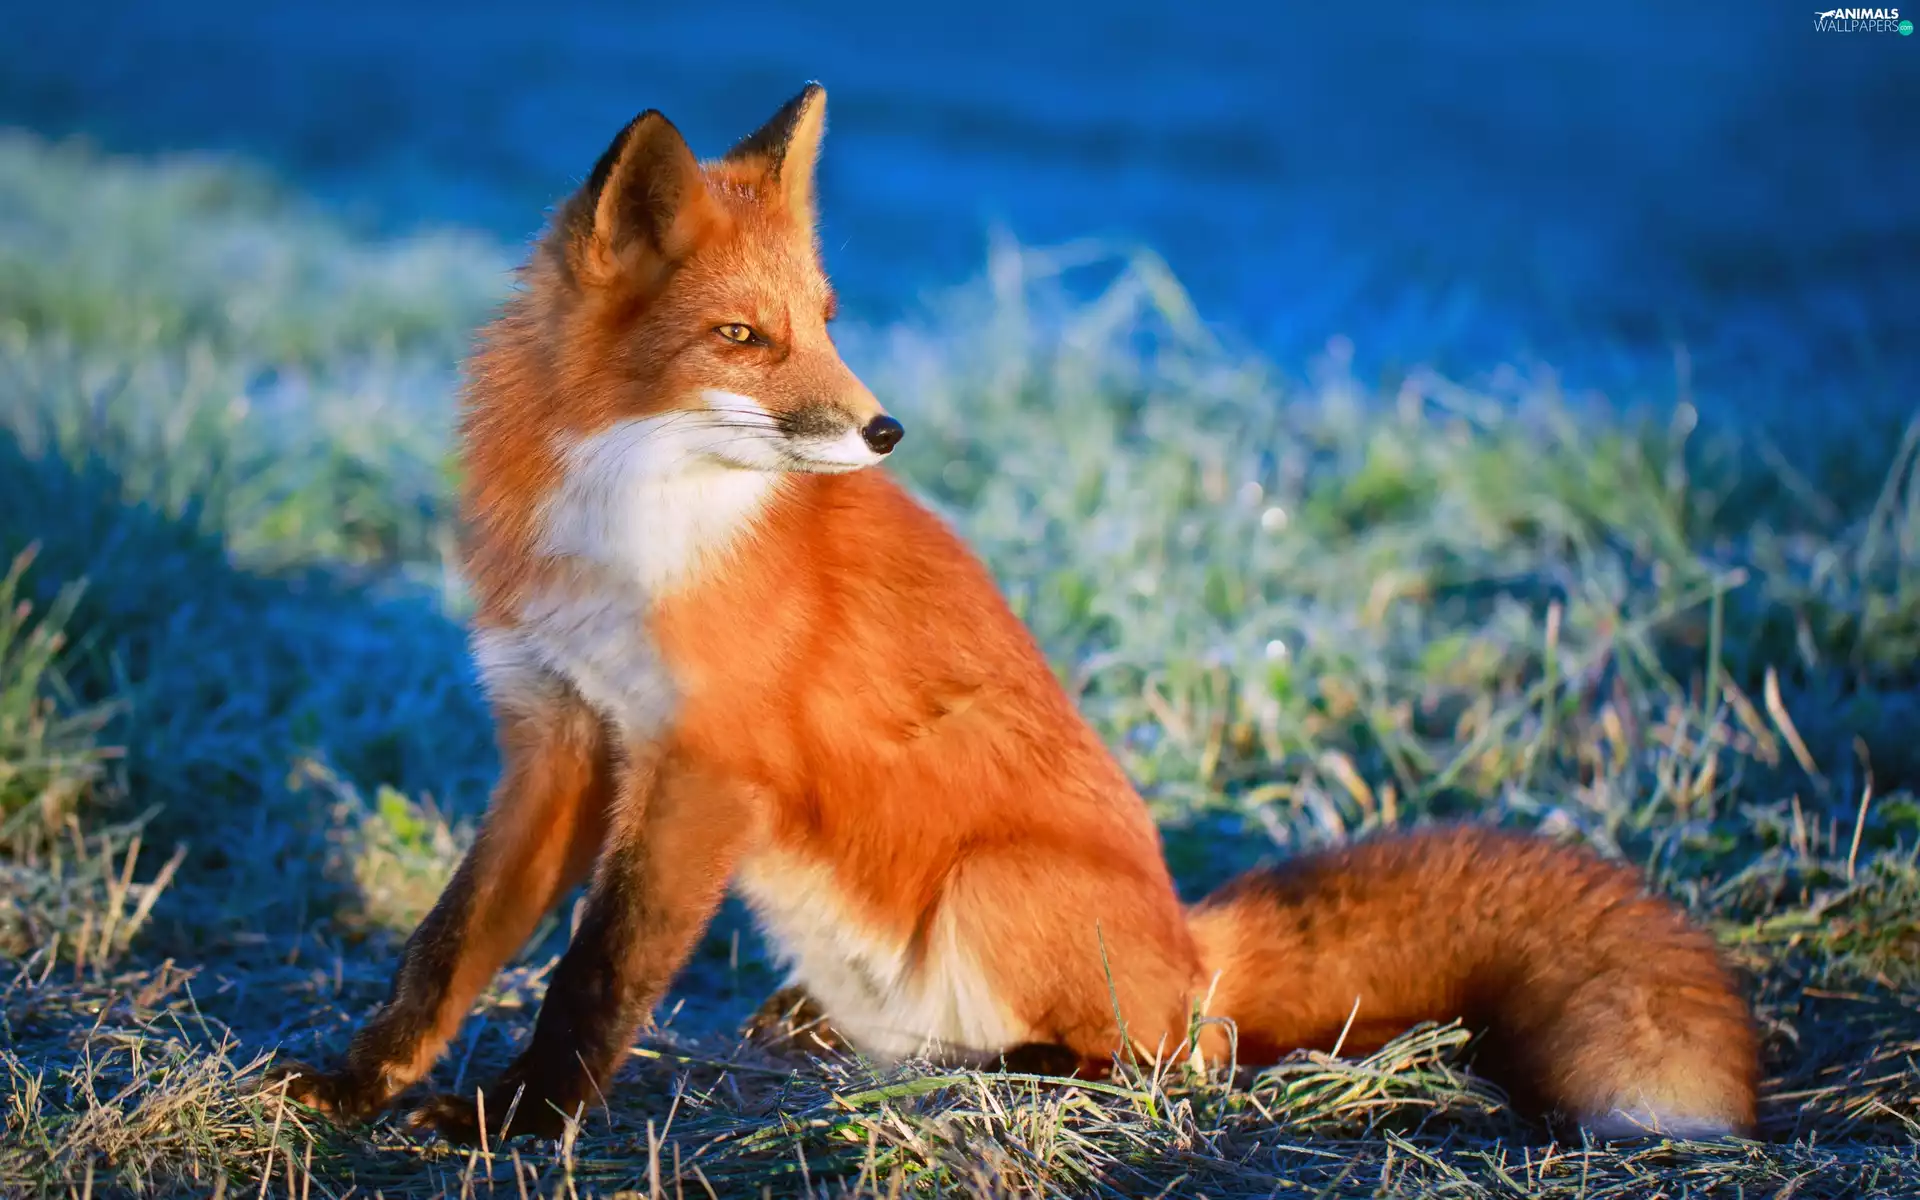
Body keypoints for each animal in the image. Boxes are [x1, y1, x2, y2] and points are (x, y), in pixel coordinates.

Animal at [275, 84, 1758, 1145]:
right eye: (745, 338)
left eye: (826, 319)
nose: (885, 429)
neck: (627, 529)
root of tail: (1192, 941)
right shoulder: (558, 739)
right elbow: (448, 945)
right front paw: (360, 1085)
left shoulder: (702, 767)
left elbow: (600, 974)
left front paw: (516, 1126)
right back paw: (844, 1038)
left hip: (995, 885)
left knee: (1179, 1060)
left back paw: (1038, 1071)